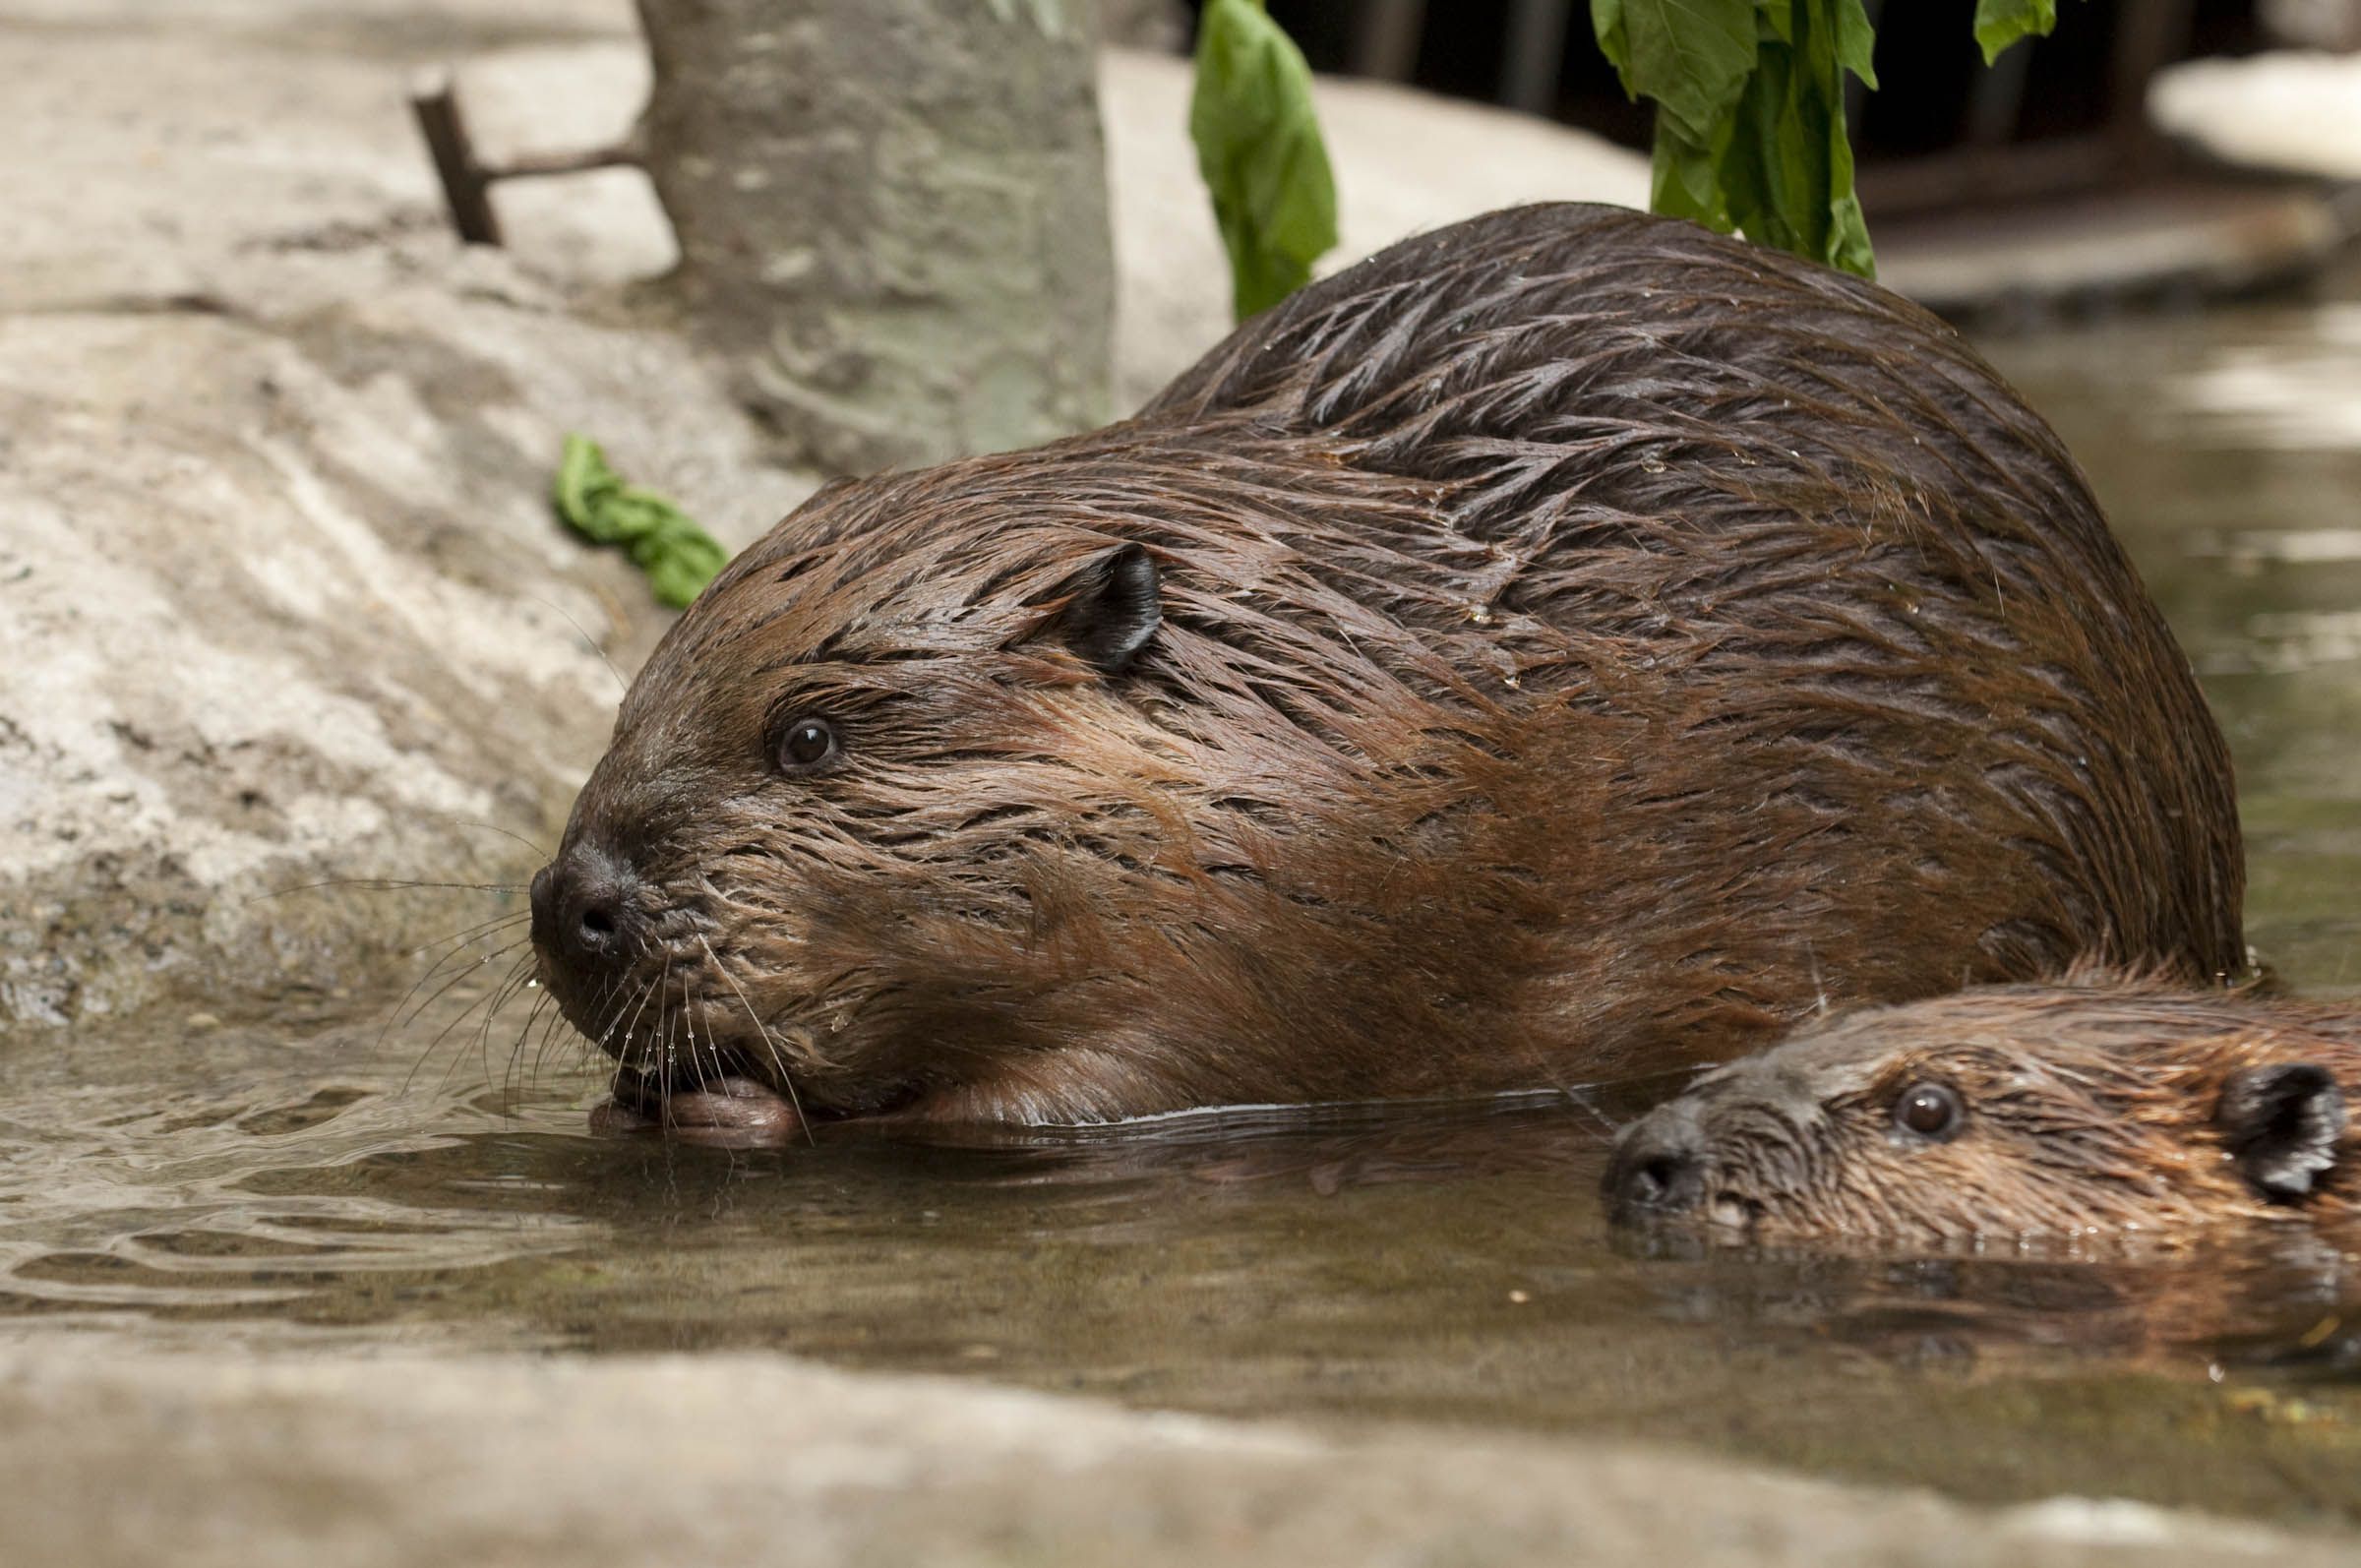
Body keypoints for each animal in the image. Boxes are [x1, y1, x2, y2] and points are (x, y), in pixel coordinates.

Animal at [531, 202, 2247, 1133]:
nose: (573, 904)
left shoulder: (1302, 935)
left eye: (810, 736)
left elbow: (1061, 1098)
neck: (1337, 673)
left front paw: (732, 1108)